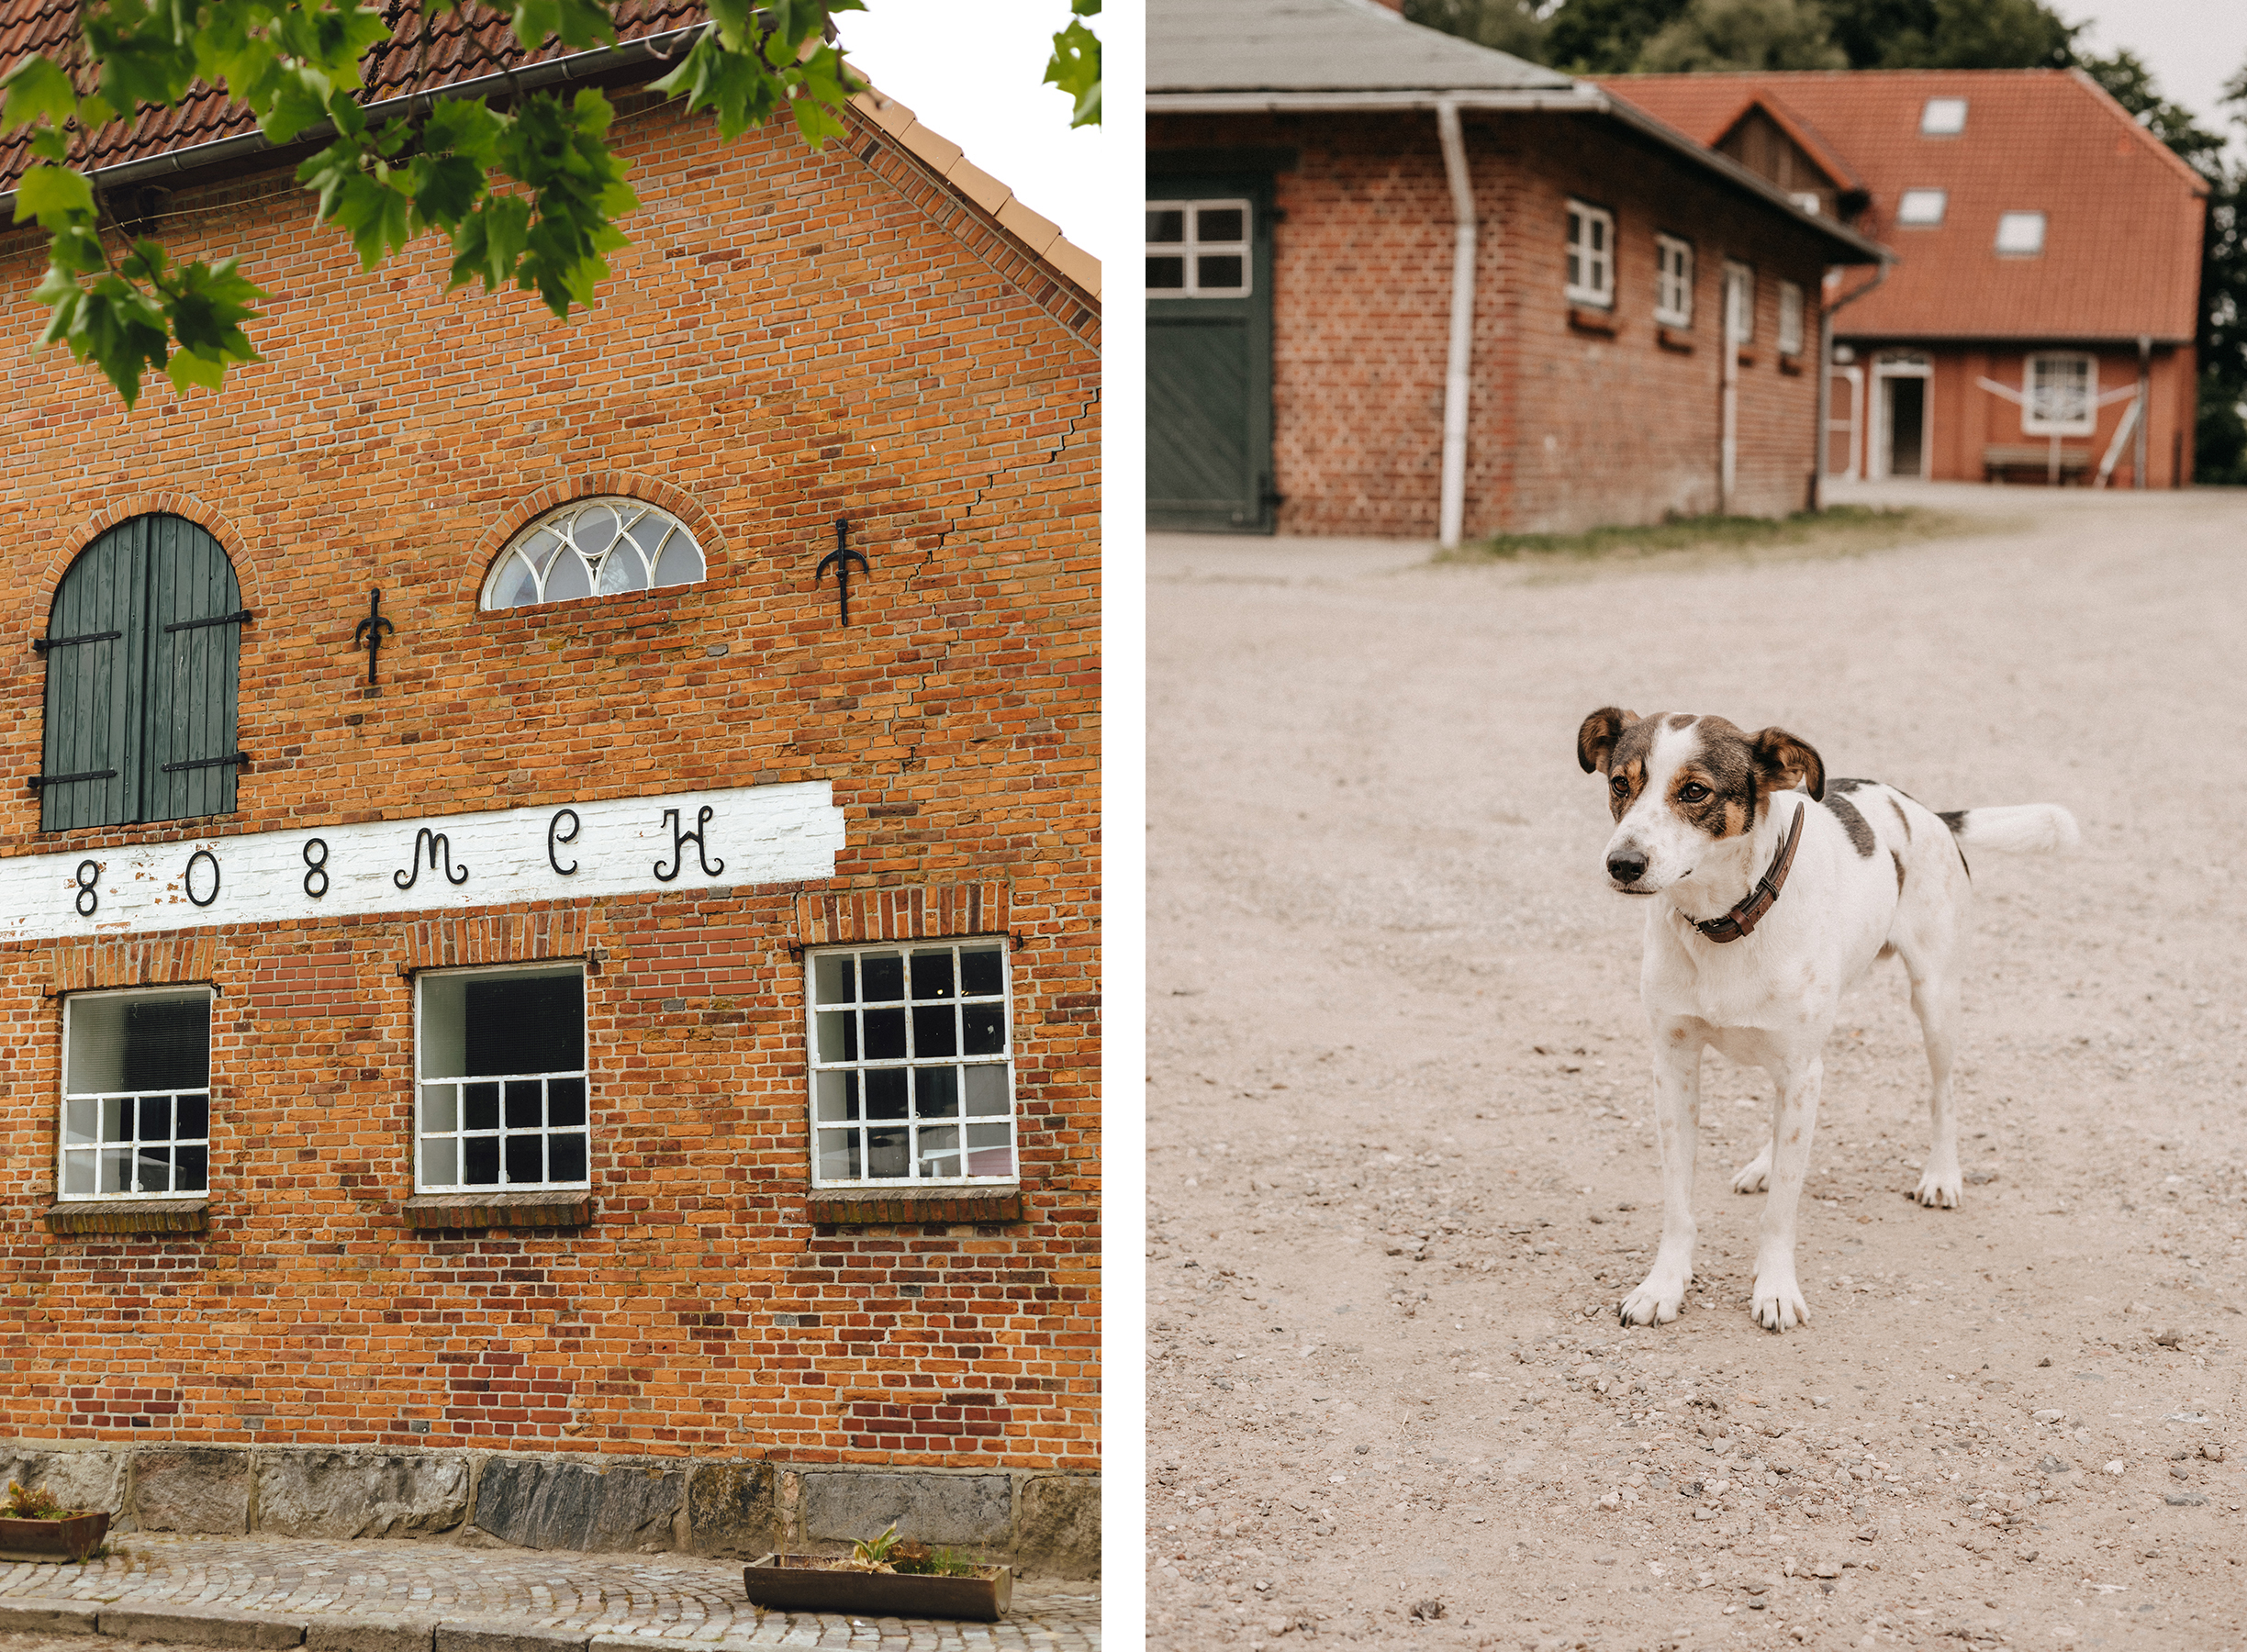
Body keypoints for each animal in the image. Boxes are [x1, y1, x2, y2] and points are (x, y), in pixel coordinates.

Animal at [1572, 705, 2075, 1330]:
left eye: (1694, 791)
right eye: (1621, 784)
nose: (1622, 863)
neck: (1724, 921)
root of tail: (1927, 812)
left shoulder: (1799, 1067)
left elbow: (1781, 1211)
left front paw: (1775, 1289)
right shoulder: (1675, 1065)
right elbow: (1679, 1202)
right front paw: (1662, 1285)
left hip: (1934, 999)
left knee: (1944, 1091)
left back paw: (1941, 1174)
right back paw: (1765, 1163)